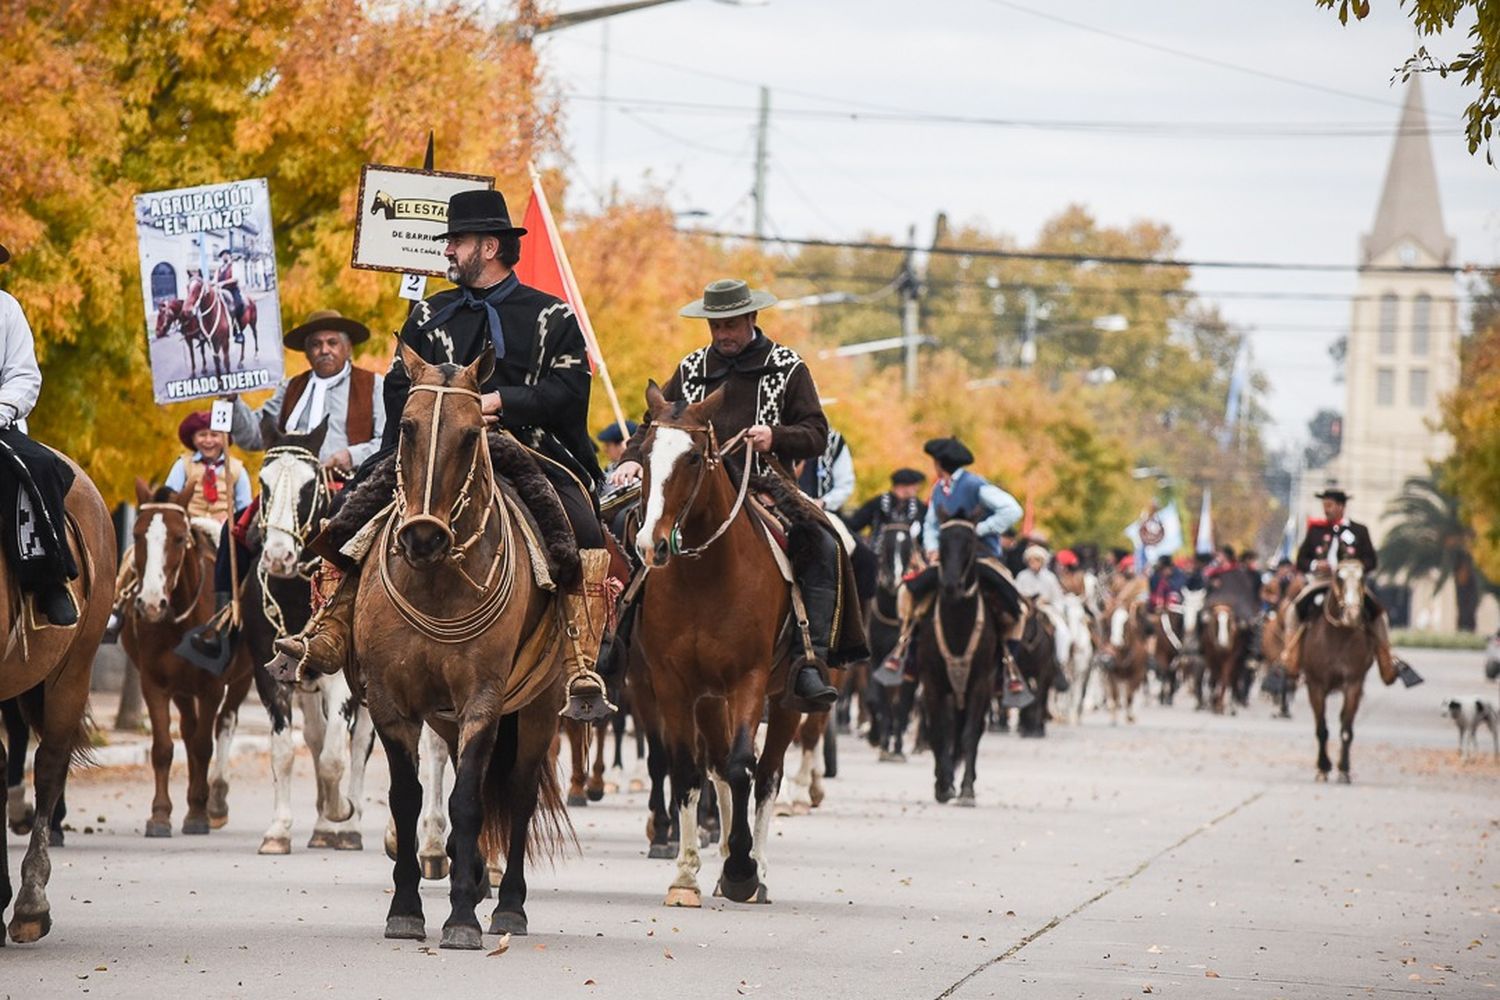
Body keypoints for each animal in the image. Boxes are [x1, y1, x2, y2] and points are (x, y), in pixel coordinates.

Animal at [122, 482, 255, 839]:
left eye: (180, 538)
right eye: (137, 534)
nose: (150, 603)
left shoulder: (212, 685)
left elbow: (203, 745)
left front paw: (197, 814)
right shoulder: (153, 683)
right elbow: (164, 748)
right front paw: (160, 815)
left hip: (242, 678)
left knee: (223, 724)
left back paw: (214, 803)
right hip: (182, 689)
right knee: (189, 727)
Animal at [348, 347, 570, 953]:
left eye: (472, 434)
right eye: (406, 426)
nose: (423, 537)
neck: (436, 581)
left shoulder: (483, 700)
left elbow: (469, 799)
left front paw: (464, 918)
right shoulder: (390, 700)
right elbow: (408, 796)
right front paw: (406, 908)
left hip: (538, 706)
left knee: (517, 794)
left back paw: (508, 904)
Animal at [630, 380, 810, 905]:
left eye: (693, 458)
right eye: (643, 452)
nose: (650, 545)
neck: (705, 578)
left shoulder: (748, 679)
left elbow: (742, 765)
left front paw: (742, 870)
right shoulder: (673, 685)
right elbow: (687, 771)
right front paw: (685, 875)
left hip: (786, 699)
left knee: (765, 775)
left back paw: (757, 869)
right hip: (709, 700)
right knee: (713, 767)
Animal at [1296, 563, 1374, 779]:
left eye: (1363, 578)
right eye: (1338, 577)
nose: (1352, 615)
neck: (1338, 637)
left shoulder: (1354, 683)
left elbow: (1346, 728)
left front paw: (1344, 769)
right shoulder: (1315, 685)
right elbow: (1322, 728)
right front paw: (1323, 767)